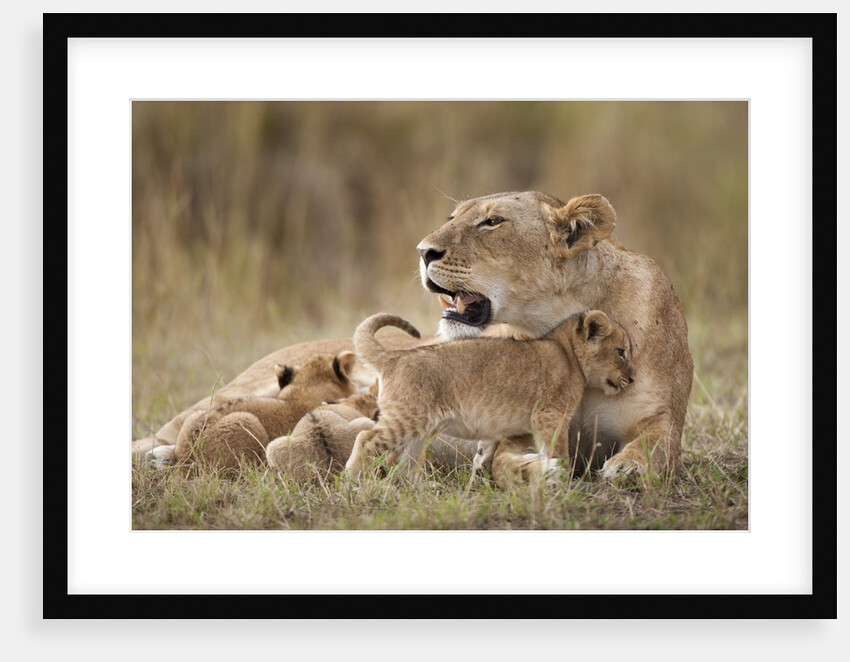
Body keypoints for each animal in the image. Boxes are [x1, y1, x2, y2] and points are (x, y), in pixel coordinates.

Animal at [344, 310, 634, 479]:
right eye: (621, 352)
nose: (632, 378)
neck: (567, 353)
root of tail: (394, 357)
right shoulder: (549, 414)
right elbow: (557, 451)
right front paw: (557, 476)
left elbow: (491, 448)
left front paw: (481, 468)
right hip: (406, 419)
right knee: (365, 438)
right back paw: (352, 480)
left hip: (419, 433)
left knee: (403, 463)